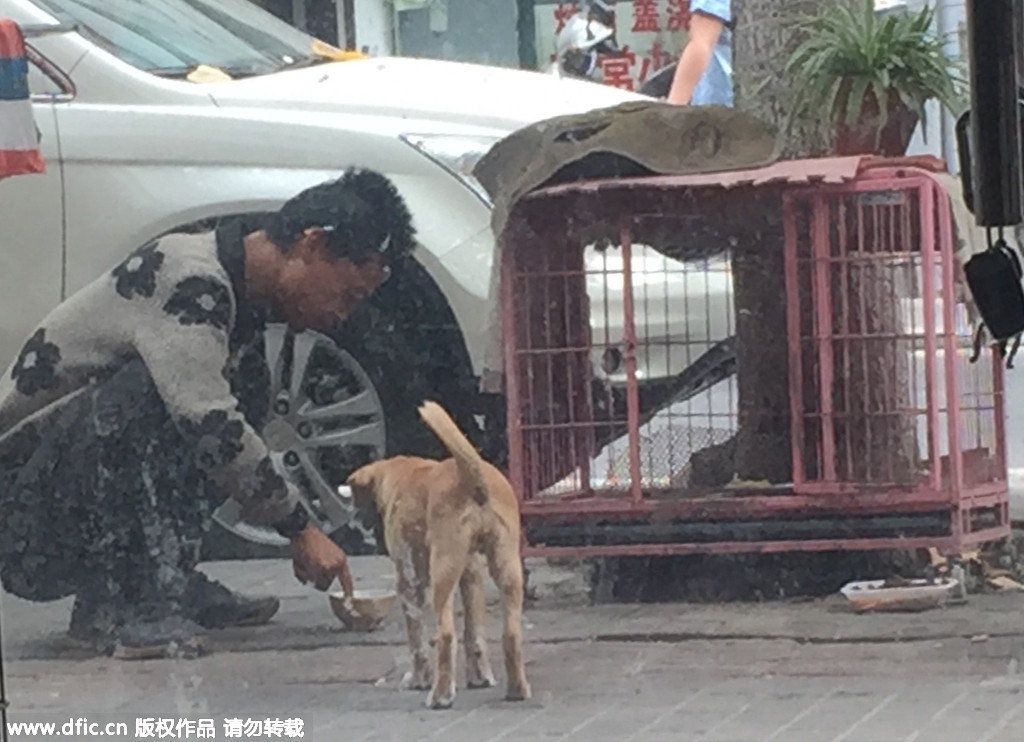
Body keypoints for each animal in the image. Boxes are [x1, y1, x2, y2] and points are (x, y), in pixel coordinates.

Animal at [346, 399, 532, 708]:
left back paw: (440, 695)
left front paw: (417, 679)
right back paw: (517, 689)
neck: (406, 473)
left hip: (442, 573)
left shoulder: (409, 581)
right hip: (507, 567)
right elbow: (473, 634)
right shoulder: (471, 573)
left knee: (445, 635)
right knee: (511, 633)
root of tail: (474, 480)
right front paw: (480, 677)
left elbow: (417, 641)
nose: (362, 531)